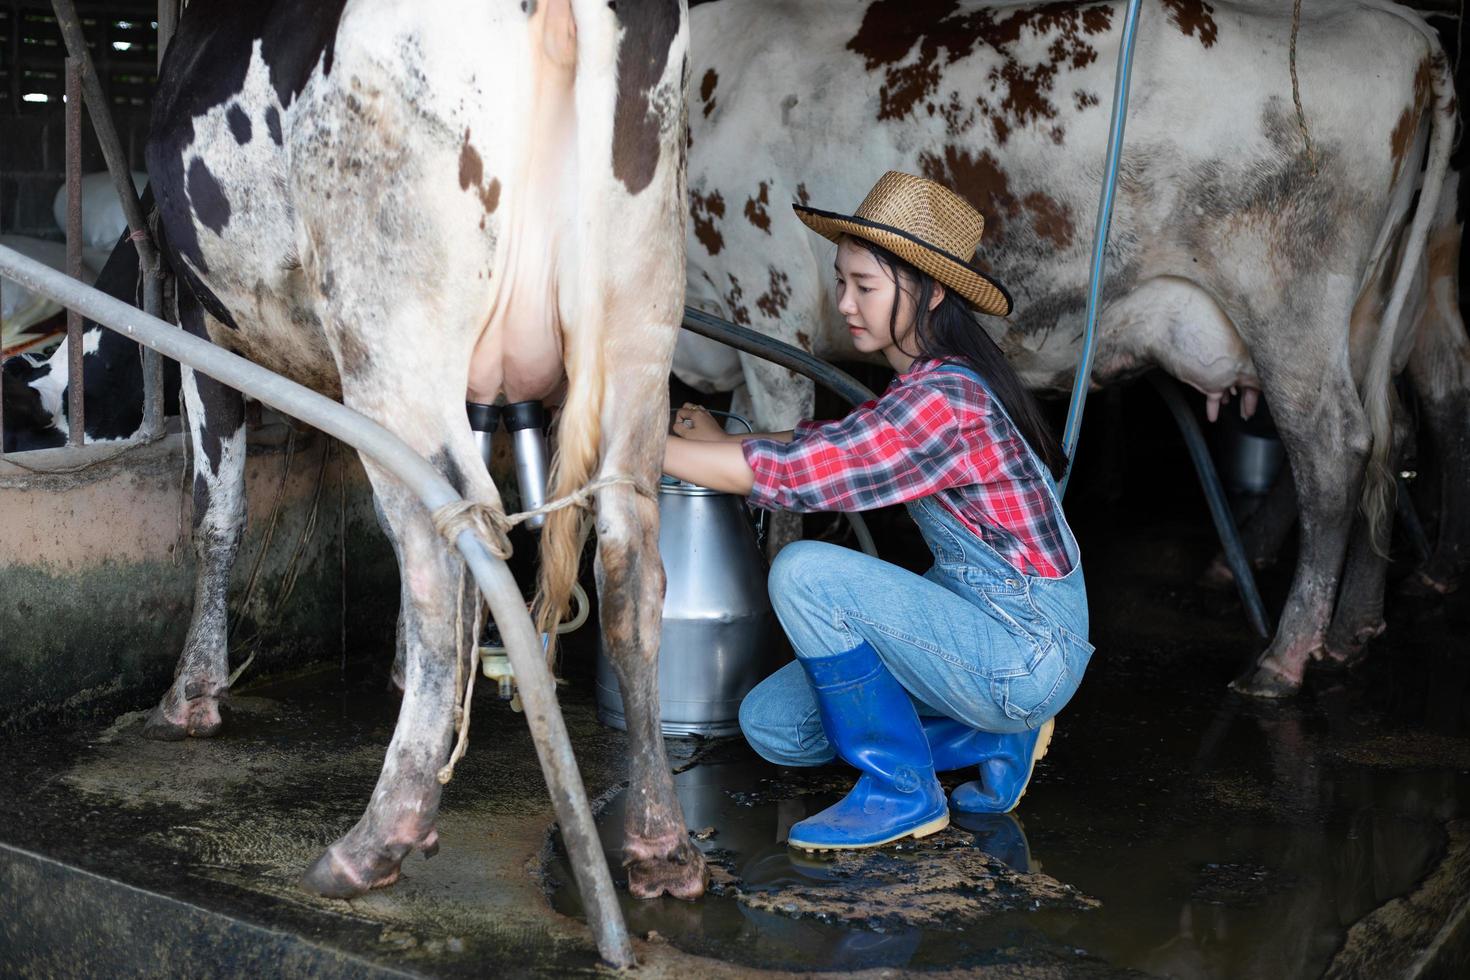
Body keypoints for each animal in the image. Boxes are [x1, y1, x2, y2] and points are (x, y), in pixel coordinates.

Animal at [144, 0, 705, 905]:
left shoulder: (195, 319)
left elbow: (216, 510)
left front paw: (193, 693)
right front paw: (407, 668)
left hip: (390, 330)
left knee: (447, 549)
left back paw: (379, 835)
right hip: (639, 324)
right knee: (627, 559)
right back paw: (660, 843)